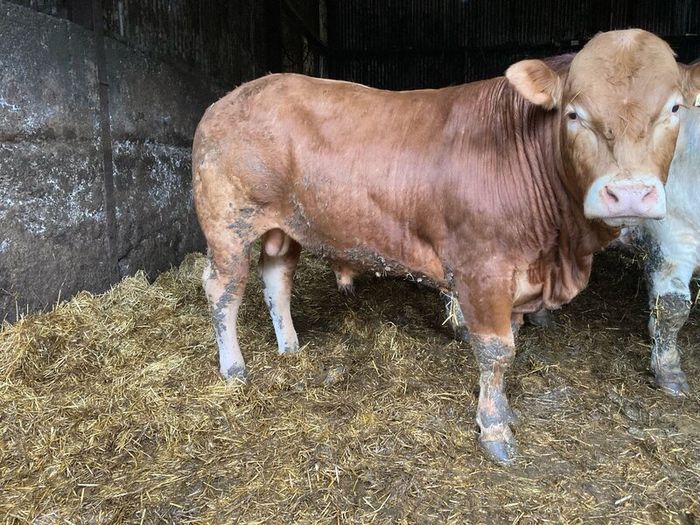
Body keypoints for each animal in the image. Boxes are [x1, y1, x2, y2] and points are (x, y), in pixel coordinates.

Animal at [192, 29, 699, 464]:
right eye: (574, 113)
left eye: (674, 108)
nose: (629, 193)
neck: (559, 251)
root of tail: (231, 97)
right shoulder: (482, 271)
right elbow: (496, 350)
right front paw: (494, 429)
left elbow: (511, 344)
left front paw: (503, 411)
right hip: (228, 224)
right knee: (223, 289)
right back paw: (234, 369)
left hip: (285, 226)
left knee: (276, 276)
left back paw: (290, 347)